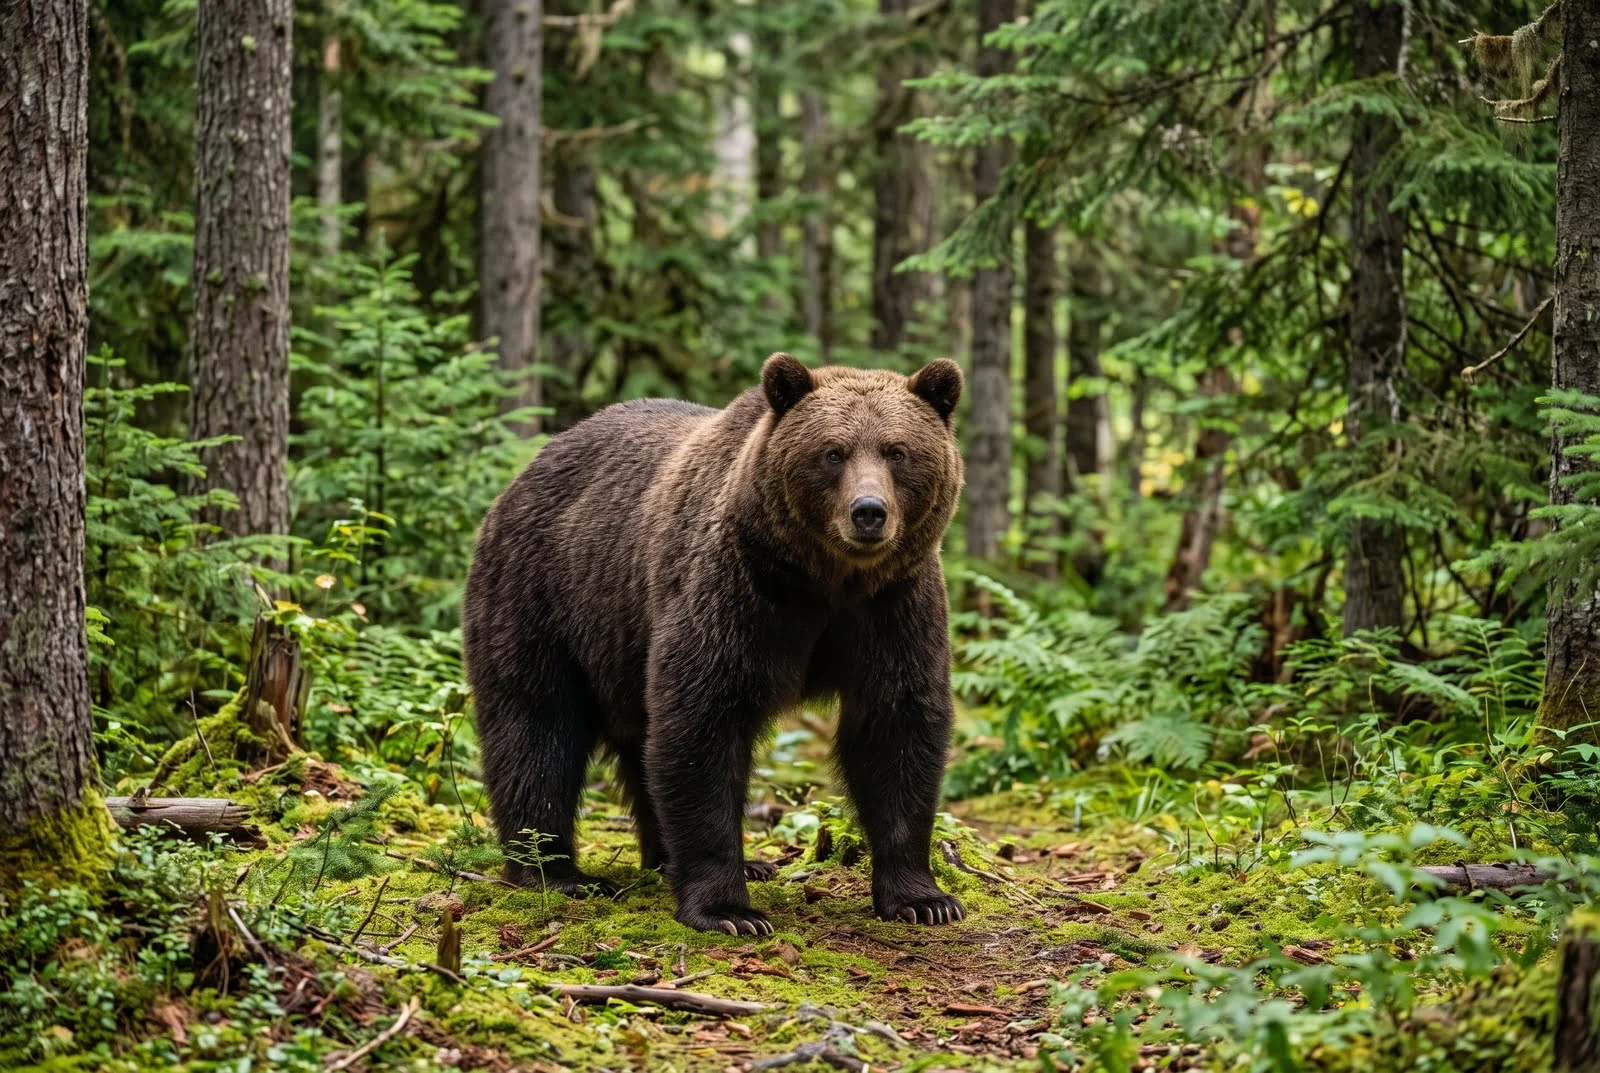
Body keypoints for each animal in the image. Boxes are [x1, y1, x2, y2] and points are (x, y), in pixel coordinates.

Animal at [462, 352, 966, 935]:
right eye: (833, 452)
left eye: (897, 451)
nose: (868, 511)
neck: (827, 581)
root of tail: (523, 474)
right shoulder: (737, 590)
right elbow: (703, 721)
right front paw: (729, 909)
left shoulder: (892, 607)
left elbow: (896, 725)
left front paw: (923, 899)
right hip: (544, 597)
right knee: (536, 728)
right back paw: (557, 872)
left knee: (636, 745)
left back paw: (695, 860)